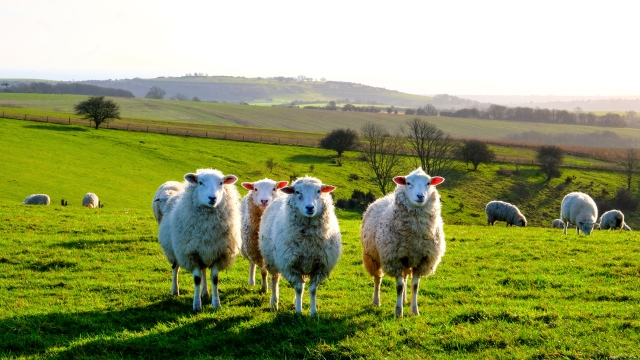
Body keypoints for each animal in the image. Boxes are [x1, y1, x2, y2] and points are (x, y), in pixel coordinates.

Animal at [158, 169, 242, 312]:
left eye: (221, 183)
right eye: (200, 182)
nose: (212, 198)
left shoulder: (218, 254)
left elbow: (214, 279)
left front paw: (216, 303)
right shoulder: (191, 254)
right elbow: (197, 279)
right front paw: (197, 305)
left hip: (205, 252)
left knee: (203, 271)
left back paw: (205, 293)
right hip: (174, 251)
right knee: (175, 269)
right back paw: (175, 291)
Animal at [258, 176, 342, 316]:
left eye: (319, 191)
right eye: (297, 192)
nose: (310, 207)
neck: (307, 242)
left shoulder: (320, 267)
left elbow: (312, 290)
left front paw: (313, 313)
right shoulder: (290, 266)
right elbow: (298, 289)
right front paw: (298, 312)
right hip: (272, 261)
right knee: (275, 280)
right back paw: (274, 303)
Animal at [360, 167, 444, 316]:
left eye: (428, 183)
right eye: (408, 183)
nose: (420, 196)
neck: (415, 235)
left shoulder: (422, 260)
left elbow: (415, 286)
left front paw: (414, 310)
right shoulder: (395, 260)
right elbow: (399, 286)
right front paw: (398, 312)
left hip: (407, 259)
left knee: (405, 278)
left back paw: (405, 300)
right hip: (373, 258)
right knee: (377, 279)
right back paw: (376, 301)